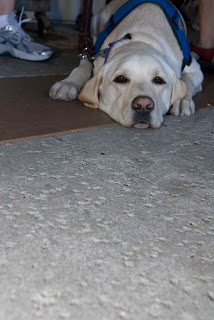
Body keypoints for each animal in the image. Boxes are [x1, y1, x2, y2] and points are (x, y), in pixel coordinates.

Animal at [49, 0, 203, 130]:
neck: (141, 40)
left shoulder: (194, 69)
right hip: (93, 23)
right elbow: (82, 66)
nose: (143, 105)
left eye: (159, 80)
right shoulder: (93, 54)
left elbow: (187, 81)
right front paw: (68, 83)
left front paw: (182, 100)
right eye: (121, 78)